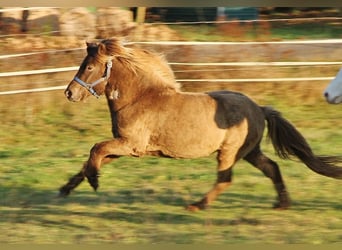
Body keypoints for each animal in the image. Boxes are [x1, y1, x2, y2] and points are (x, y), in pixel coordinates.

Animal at [59, 38, 342, 210]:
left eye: (90, 67)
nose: (70, 93)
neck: (140, 98)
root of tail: (259, 109)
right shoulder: (124, 147)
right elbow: (91, 159)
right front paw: (66, 188)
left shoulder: (130, 145)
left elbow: (95, 149)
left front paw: (95, 181)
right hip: (250, 151)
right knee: (271, 168)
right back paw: (282, 203)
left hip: (230, 152)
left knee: (226, 179)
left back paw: (197, 204)